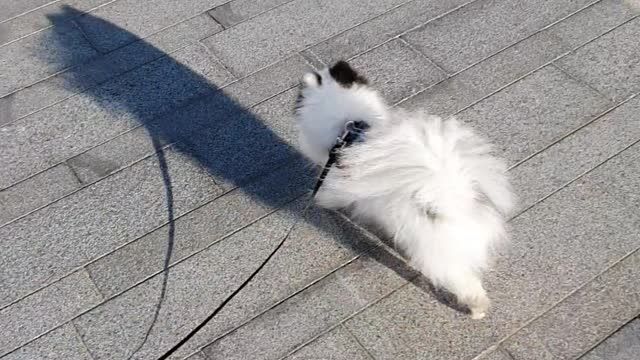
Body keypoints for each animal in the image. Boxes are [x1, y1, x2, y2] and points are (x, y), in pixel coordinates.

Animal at [296, 61, 516, 318]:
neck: (349, 123)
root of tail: (453, 202)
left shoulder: (333, 175)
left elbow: (329, 193)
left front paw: (321, 201)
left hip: (440, 255)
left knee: (463, 283)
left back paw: (476, 310)